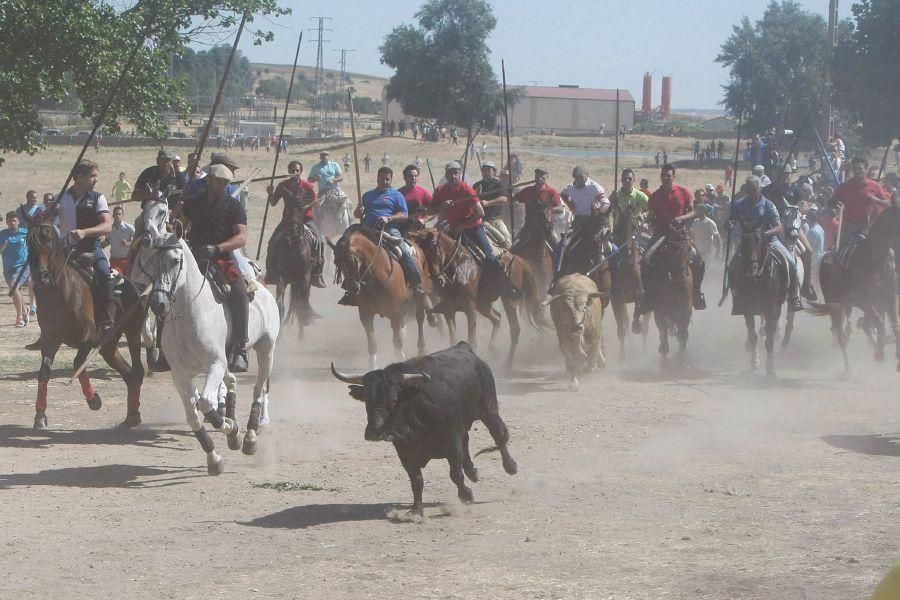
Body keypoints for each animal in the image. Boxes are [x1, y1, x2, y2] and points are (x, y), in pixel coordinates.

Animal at [26, 223, 145, 428]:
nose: (41, 277)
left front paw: (94, 400)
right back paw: (132, 415)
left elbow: (78, 362)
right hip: (108, 346)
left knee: (137, 370)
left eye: (48, 240)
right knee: (129, 374)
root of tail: (135, 288)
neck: (61, 291)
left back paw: (133, 416)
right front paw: (40, 415)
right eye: (28, 242)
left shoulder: (88, 334)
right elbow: (44, 372)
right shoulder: (50, 338)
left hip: (133, 333)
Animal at [132, 224, 280, 474]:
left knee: (258, 390)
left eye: (175, 260)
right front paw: (215, 456)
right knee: (233, 381)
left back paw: (250, 435)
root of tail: (262, 288)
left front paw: (232, 430)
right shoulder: (180, 374)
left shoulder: (215, 364)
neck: (191, 314)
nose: (157, 304)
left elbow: (205, 403)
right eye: (151, 261)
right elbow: (194, 415)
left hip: (266, 350)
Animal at [330, 223, 432, 368]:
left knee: (420, 319)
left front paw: (399, 358)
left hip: (420, 297)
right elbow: (372, 342)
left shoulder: (394, 313)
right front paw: (372, 365)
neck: (376, 275)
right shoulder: (366, 314)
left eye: (352, 261)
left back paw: (422, 348)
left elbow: (397, 341)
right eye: (336, 263)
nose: (352, 287)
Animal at [330, 344, 516, 516]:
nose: (374, 432)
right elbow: (416, 481)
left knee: (498, 435)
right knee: (467, 441)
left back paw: (510, 466)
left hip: (489, 409)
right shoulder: (404, 451)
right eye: (367, 399)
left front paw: (466, 496)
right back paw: (473, 472)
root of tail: (463, 347)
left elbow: (455, 474)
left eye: (395, 398)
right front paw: (416, 511)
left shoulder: (452, 441)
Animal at [410, 229, 548, 368]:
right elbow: (453, 339)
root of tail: (518, 261)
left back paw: (508, 363)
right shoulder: (449, 310)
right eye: (421, 252)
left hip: (508, 301)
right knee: (497, 318)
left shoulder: (470, 308)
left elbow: (472, 340)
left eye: (434, 249)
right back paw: (492, 349)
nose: (437, 279)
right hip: (483, 305)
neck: (458, 270)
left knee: (514, 329)